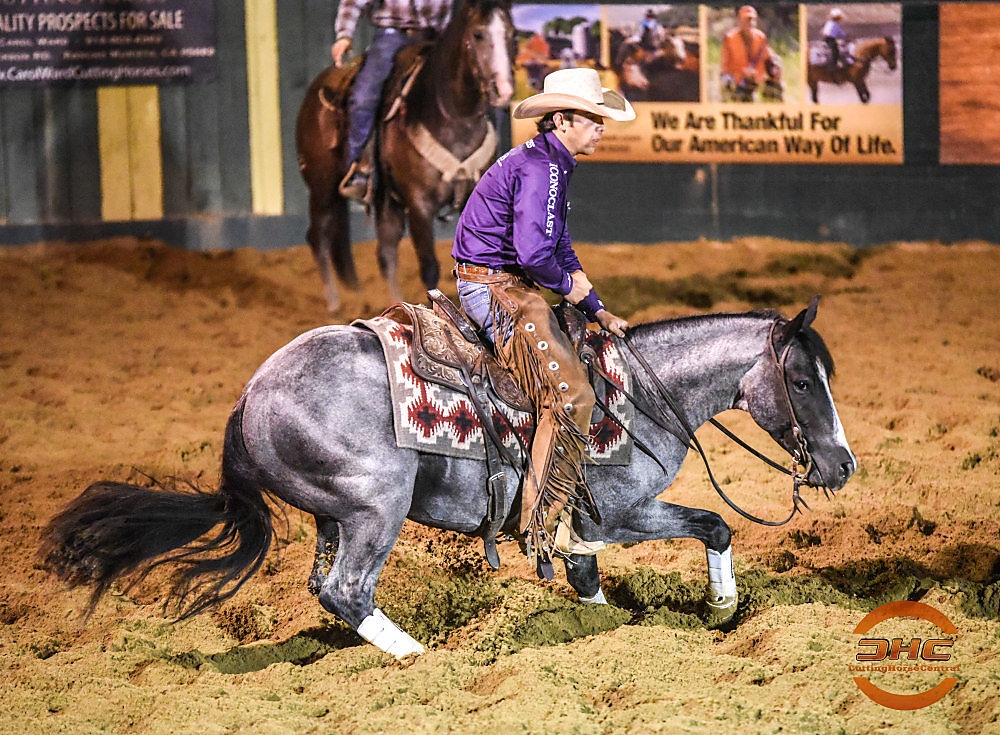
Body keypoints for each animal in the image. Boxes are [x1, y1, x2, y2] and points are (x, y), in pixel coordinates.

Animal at [38, 298, 856, 658]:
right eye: (802, 381)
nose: (844, 465)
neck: (637, 393)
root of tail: (249, 397)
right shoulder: (616, 512)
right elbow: (714, 522)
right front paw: (722, 606)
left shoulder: (578, 525)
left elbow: (587, 577)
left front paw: (600, 627)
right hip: (375, 506)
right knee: (347, 590)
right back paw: (419, 662)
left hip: (334, 515)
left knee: (325, 585)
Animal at [295, 0, 514, 312]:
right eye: (478, 34)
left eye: (511, 35)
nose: (503, 90)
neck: (451, 115)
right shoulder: (419, 205)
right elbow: (430, 268)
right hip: (322, 185)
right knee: (318, 236)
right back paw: (335, 303)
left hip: (386, 198)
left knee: (385, 251)